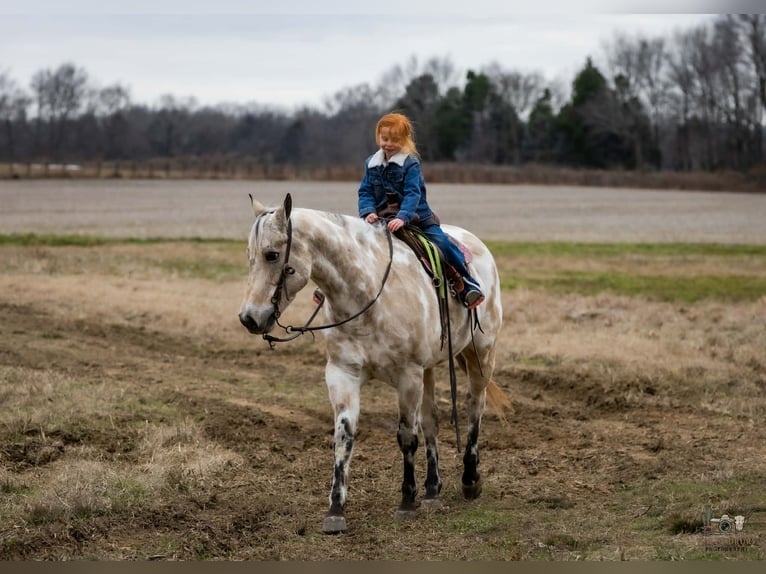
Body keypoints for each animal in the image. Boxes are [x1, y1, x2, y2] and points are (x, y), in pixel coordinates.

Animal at [238, 193, 509, 534]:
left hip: (481, 353)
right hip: (430, 369)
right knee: (431, 421)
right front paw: (335, 510)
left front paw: (406, 501)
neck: (366, 294)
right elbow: (344, 436)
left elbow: (407, 437)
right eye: (250, 257)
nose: (249, 318)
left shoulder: (408, 376)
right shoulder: (343, 374)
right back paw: (433, 491)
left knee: (475, 407)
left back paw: (470, 480)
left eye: (272, 255)